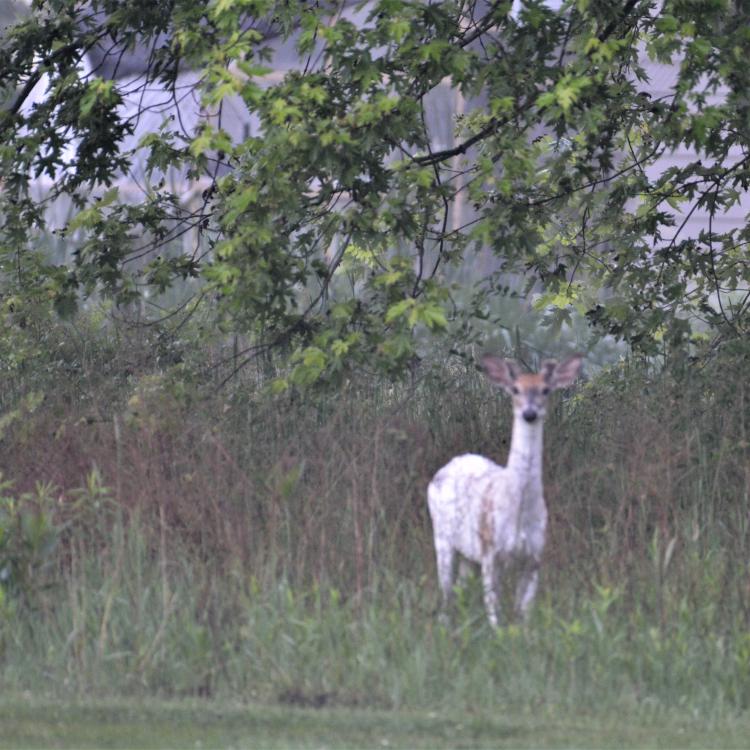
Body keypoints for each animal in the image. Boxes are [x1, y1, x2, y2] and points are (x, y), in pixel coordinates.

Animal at [426, 356, 584, 624]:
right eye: (515, 389)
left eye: (545, 389)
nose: (529, 413)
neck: (519, 511)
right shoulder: (491, 552)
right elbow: (495, 613)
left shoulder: (534, 555)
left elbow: (523, 616)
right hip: (443, 537)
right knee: (446, 593)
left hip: (469, 553)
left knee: (461, 589)